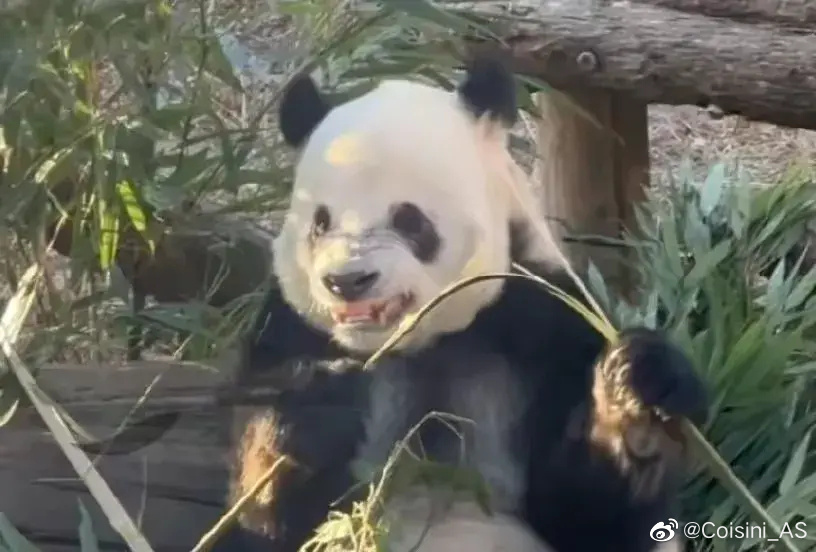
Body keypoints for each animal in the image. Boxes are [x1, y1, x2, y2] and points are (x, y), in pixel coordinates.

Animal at [214, 56, 704, 552]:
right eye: (320, 222)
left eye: (409, 219)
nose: (348, 281)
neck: (423, 340)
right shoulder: (288, 332)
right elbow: (266, 513)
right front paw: (315, 409)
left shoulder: (541, 321)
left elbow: (591, 516)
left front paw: (637, 406)